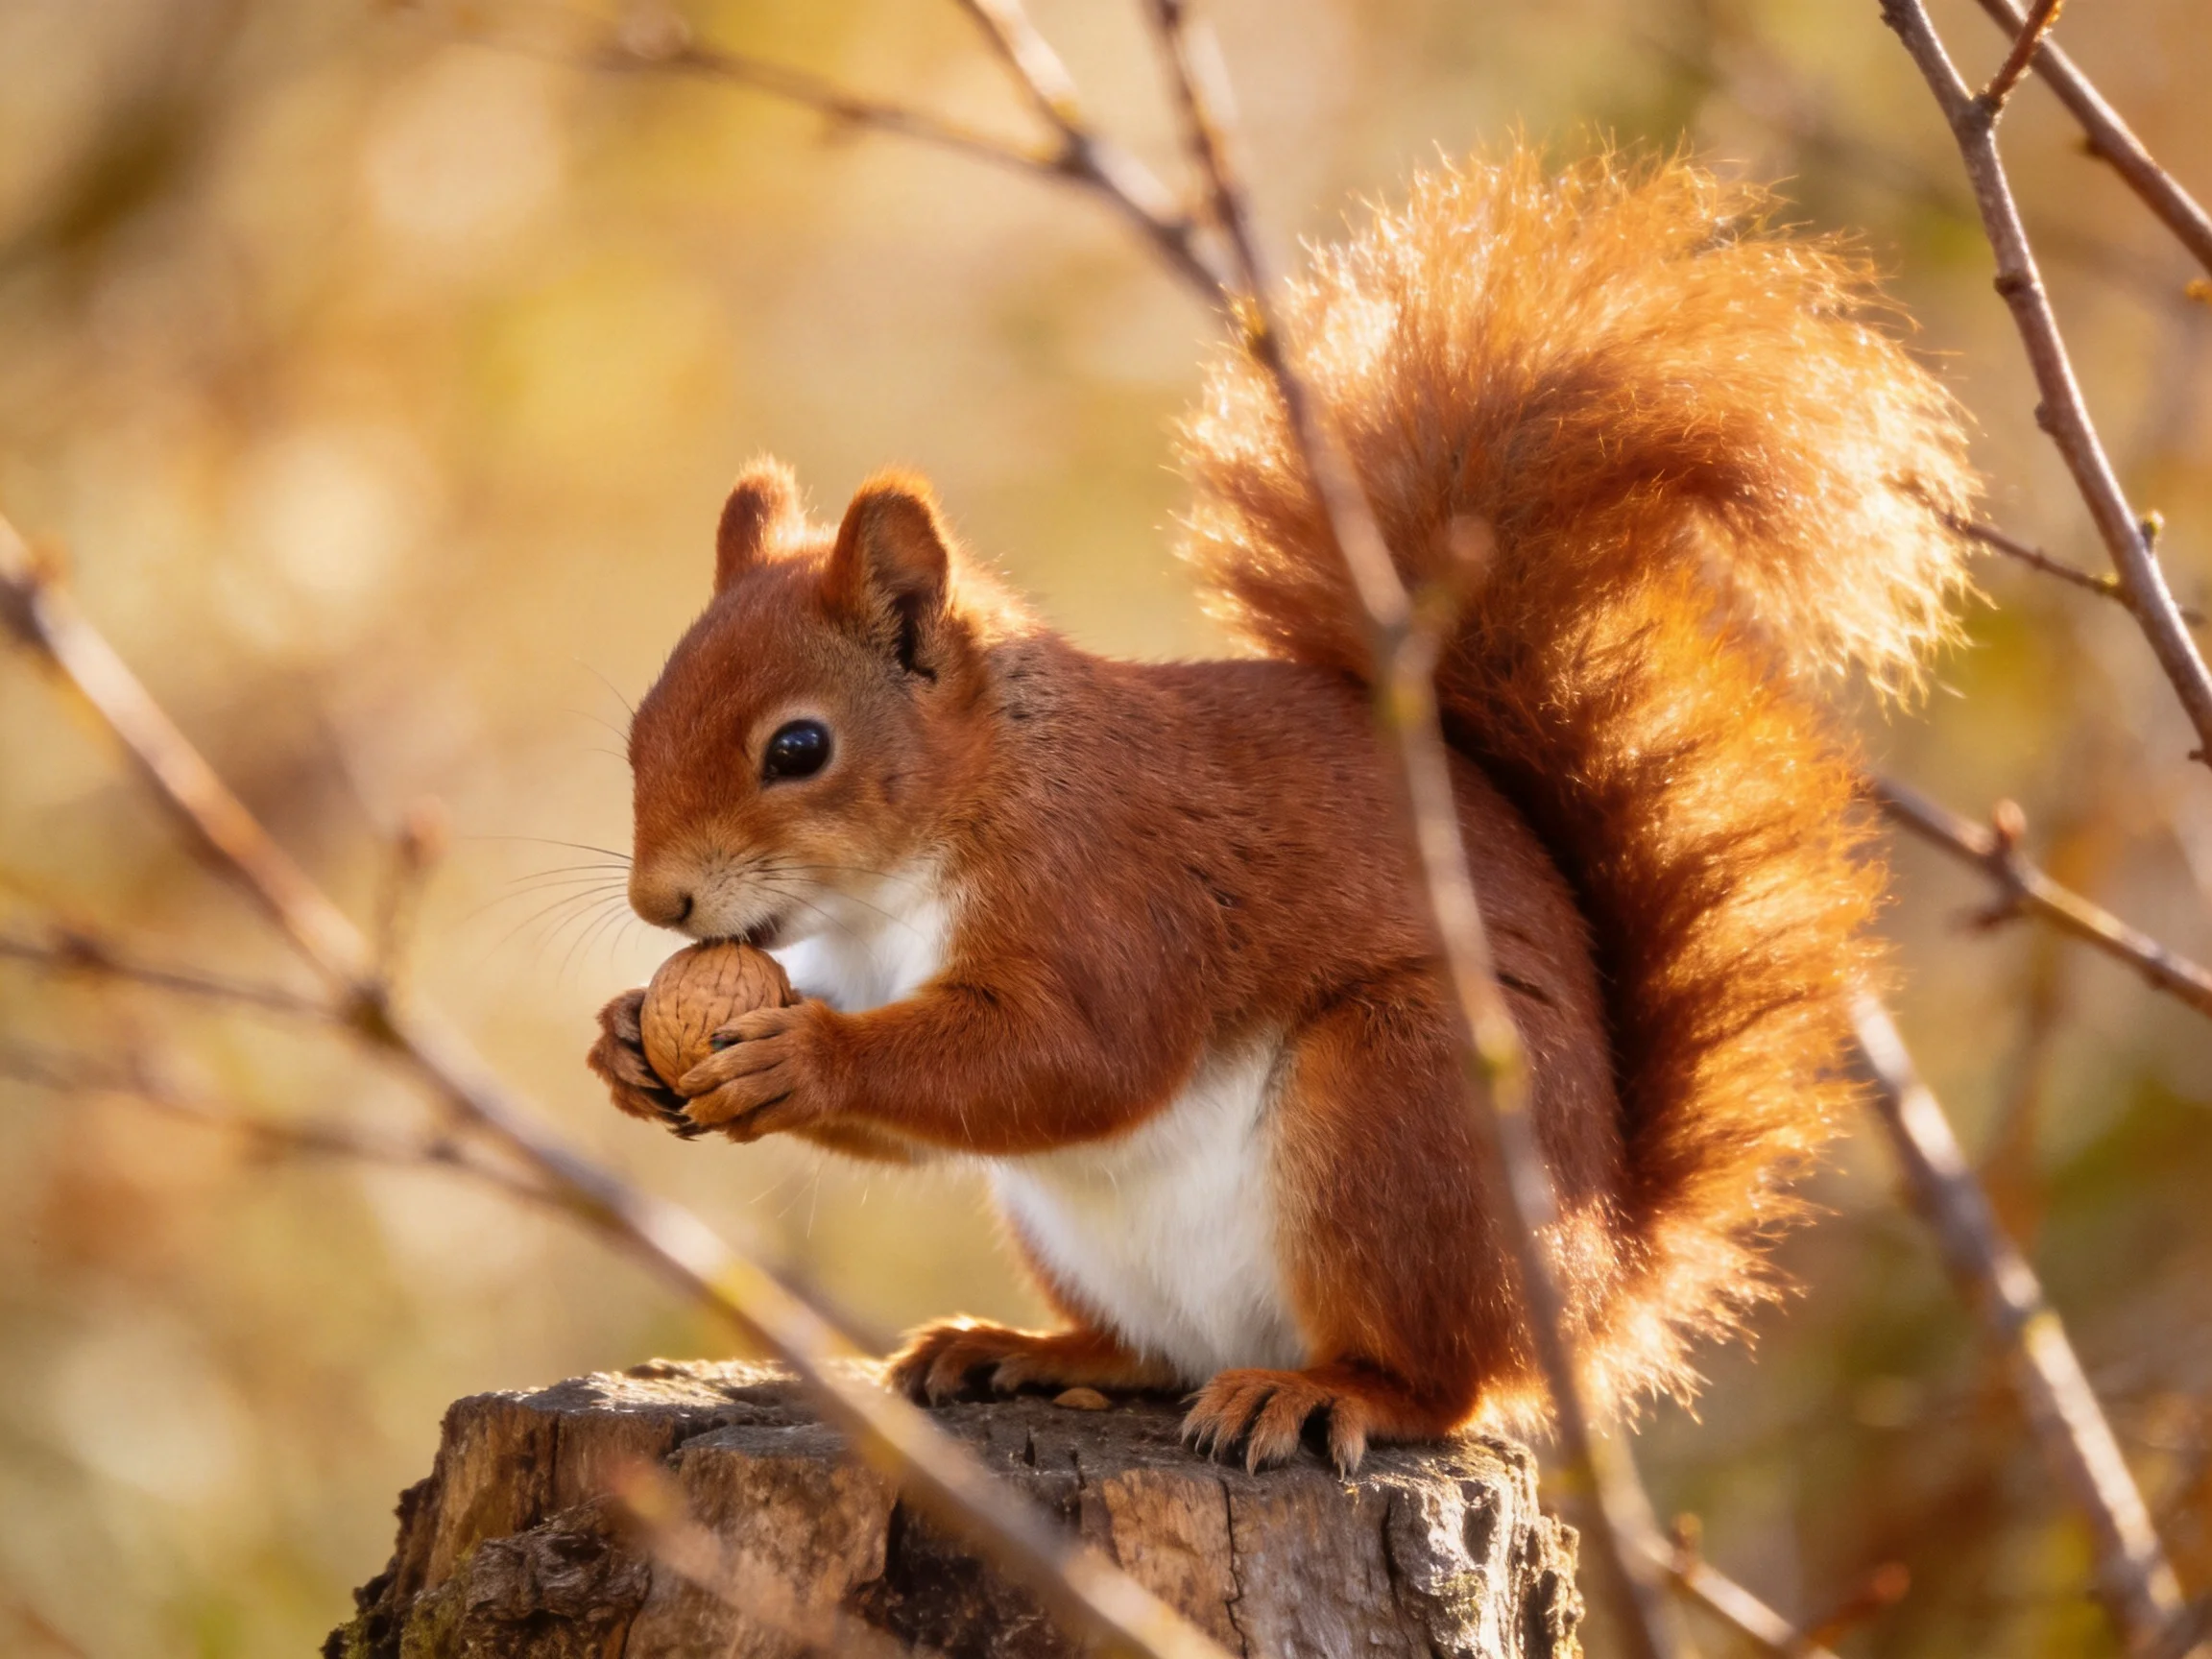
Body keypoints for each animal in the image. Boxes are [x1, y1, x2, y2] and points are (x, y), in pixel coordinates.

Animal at [587, 147, 1976, 1472]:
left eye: (799, 748)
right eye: (637, 727)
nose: (662, 901)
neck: (922, 862)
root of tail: (1593, 1286)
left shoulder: (1115, 889)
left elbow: (1073, 1056)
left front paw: (805, 1056)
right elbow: (943, 1117)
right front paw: (625, 1041)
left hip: (1405, 1101)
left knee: (1438, 1382)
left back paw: (1323, 1393)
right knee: (1152, 1353)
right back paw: (1026, 1349)